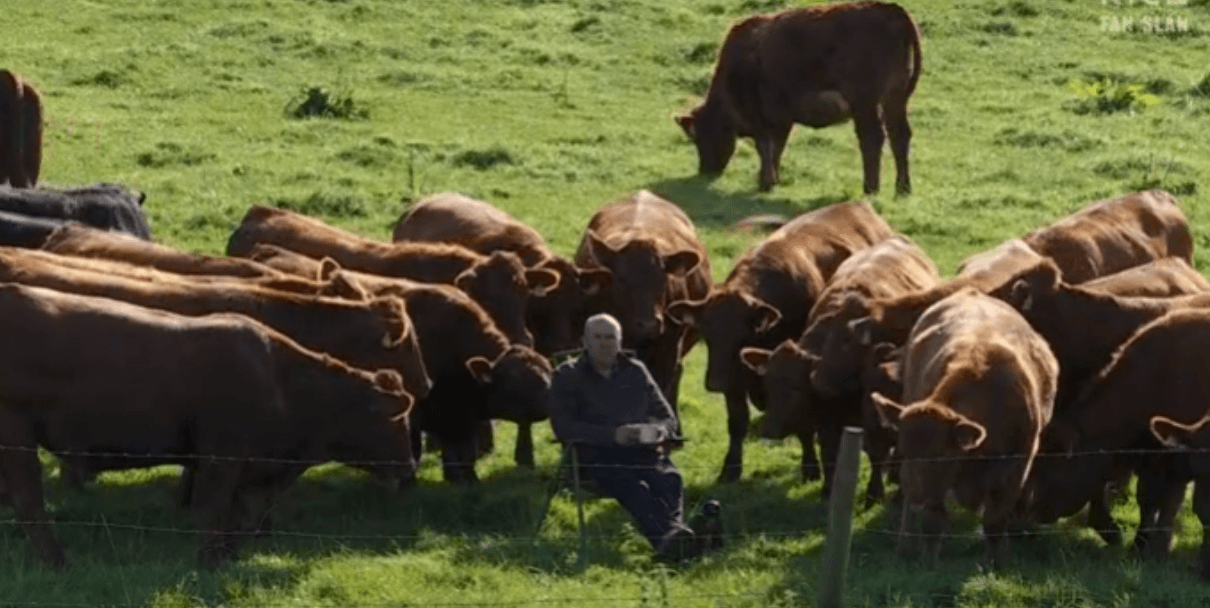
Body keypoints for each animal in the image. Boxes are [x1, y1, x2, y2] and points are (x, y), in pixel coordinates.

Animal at [0, 282, 416, 569]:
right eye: (397, 420)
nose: (411, 466)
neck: (278, 378)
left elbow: (233, 513)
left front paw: (228, 555)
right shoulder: (221, 456)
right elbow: (215, 510)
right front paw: (210, 562)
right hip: (16, 435)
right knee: (29, 500)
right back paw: (56, 561)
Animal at [667, 201, 895, 483]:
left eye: (742, 335)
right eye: (706, 334)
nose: (715, 382)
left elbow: (804, 425)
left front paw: (810, 468)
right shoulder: (735, 379)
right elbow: (737, 422)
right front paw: (730, 469)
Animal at [674, 1, 922, 194]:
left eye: (700, 136)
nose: (705, 171)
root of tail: (892, 10)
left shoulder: (759, 114)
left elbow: (765, 146)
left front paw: (765, 182)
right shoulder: (782, 118)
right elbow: (777, 148)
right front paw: (773, 180)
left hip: (865, 103)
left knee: (872, 138)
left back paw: (870, 188)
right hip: (894, 99)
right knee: (899, 135)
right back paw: (902, 188)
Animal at [737, 235, 938, 499]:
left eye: (796, 388)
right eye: (768, 384)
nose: (769, 430)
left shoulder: (873, 411)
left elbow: (878, 451)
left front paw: (874, 492)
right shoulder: (827, 419)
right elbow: (829, 453)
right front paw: (827, 489)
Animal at [870, 288, 1059, 568]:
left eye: (940, 455)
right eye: (903, 449)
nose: (915, 493)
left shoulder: (1016, 467)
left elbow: (994, 522)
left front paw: (993, 563)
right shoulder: (935, 487)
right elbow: (932, 522)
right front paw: (928, 563)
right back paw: (905, 545)